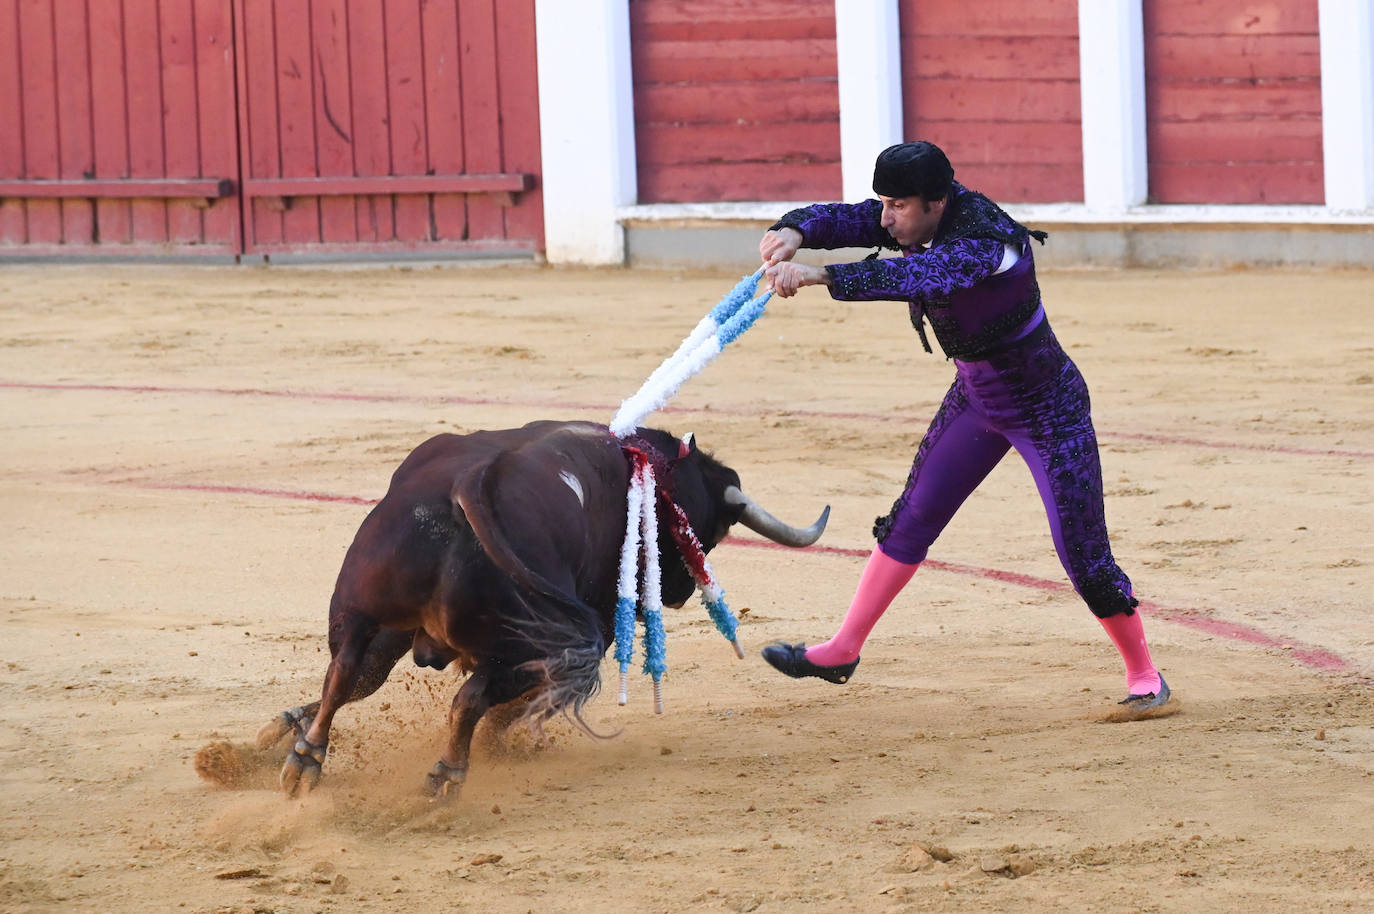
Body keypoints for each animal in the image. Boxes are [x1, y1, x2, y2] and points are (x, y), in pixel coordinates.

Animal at [258, 417, 824, 797]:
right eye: (708, 531)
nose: (679, 591)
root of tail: (471, 485)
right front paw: (496, 747)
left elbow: (361, 681)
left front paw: (283, 729)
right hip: (537, 642)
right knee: (471, 696)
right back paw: (448, 775)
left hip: (363, 608)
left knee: (348, 669)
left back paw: (304, 758)